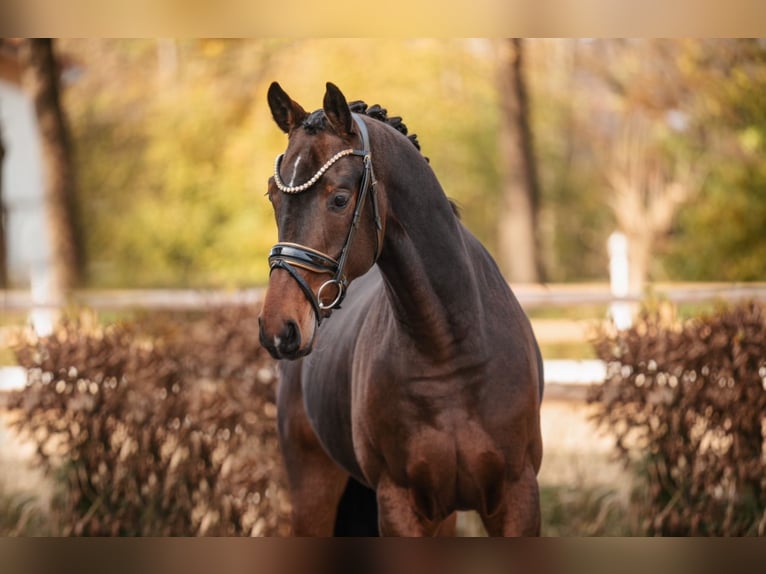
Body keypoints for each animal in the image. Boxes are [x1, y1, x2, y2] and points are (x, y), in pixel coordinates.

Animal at [258, 82, 544, 540]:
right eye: (272, 195)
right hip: (313, 491)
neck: (448, 349)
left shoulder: (517, 497)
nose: (278, 328)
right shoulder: (399, 504)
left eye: (339, 199)